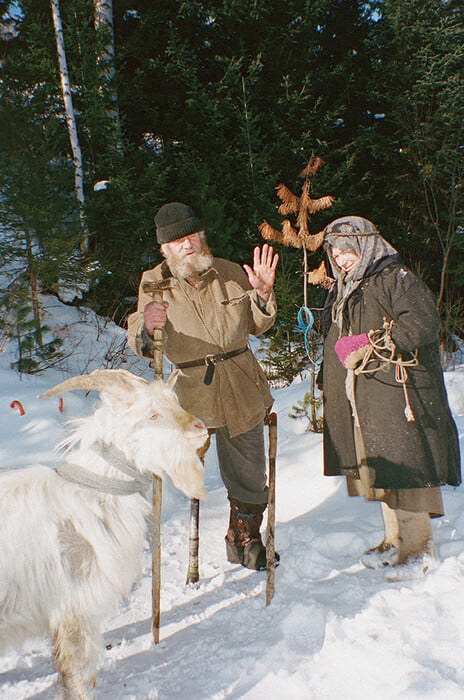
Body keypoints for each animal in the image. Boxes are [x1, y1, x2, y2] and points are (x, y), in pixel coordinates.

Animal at [0, 370, 207, 696]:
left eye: (175, 402)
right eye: (152, 415)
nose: (200, 428)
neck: (92, 498)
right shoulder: (72, 610)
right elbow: (77, 674)